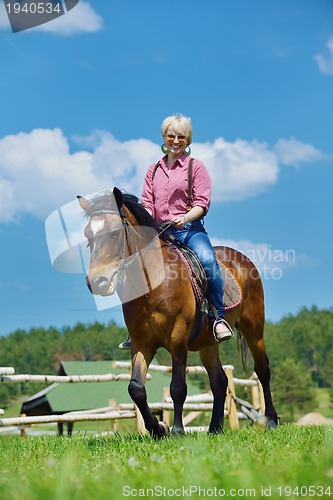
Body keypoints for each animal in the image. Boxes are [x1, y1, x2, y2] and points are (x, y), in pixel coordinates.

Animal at [78, 188, 278, 438]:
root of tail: (243, 259)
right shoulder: (141, 342)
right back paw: (214, 428)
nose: (97, 282)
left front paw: (177, 430)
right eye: (88, 236)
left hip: (253, 328)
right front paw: (157, 429)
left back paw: (271, 420)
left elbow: (178, 387)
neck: (152, 284)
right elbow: (136, 388)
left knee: (262, 369)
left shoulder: (178, 337)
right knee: (219, 380)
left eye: (115, 234)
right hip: (208, 342)